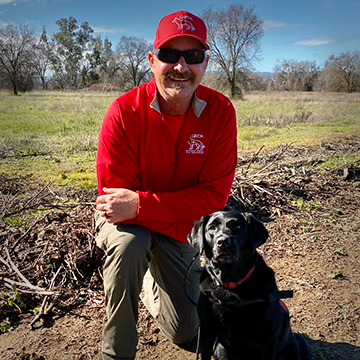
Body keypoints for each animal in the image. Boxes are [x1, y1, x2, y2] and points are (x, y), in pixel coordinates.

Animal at [187, 210, 308, 360]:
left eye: (238, 226)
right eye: (212, 228)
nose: (223, 242)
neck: (229, 286)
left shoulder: (268, 341)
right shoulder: (206, 329)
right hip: (219, 348)